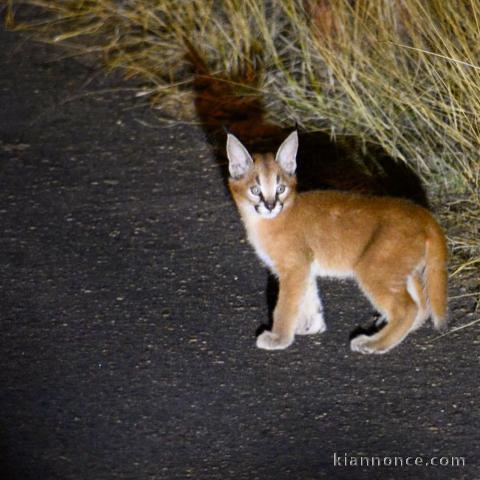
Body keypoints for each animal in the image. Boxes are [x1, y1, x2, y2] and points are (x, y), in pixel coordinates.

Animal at [227, 130, 448, 352]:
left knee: (406, 308)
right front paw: (312, 327)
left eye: (280, 188)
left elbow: (285, 305)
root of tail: (423, 213)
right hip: (403, 269)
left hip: (374, 267)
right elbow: (309, 297)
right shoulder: (304, 266)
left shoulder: (293, 266)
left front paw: (279, 338)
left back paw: (373, 343)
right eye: (255, 190)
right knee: (422, 304)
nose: (271, 205)